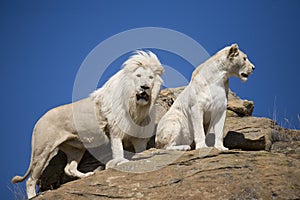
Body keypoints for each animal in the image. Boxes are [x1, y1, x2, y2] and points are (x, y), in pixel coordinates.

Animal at [11, 50, 164, 198]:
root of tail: (39, 121)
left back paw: (88, 175)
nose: (145, 87)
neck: (136, 106)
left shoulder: (139, 138)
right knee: (31, 180)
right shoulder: (115, 130)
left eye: (150, 77)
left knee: (69, 168)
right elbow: (118, 149)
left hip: (76, 149)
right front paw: (121, 162)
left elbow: (141, 150)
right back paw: (33, 195)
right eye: (138, 75)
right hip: (42, 151)